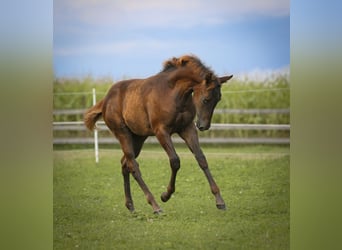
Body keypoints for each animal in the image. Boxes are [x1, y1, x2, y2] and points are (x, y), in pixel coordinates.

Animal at [85, 54, 232, 213]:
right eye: (206, 99)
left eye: (218, 99)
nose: (204, 126)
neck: (173, 93)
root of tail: (105, 100)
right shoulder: (161, 131)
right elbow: (175, 161)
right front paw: (165, 195)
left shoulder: (187, 128)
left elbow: (201, 159)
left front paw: (220, 201)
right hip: (122, 133)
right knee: (133, 165)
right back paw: (155, 205)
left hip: (138, 138)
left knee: (125, 163)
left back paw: (130, 205)